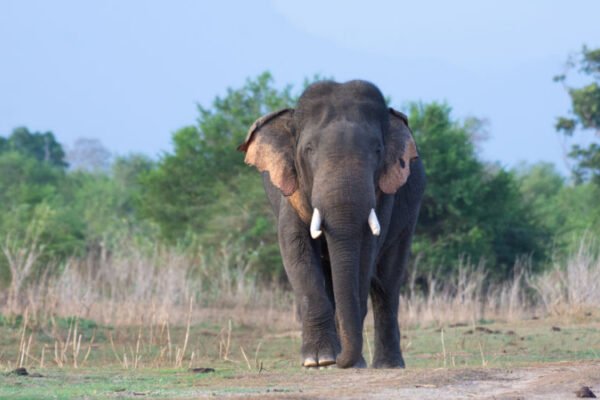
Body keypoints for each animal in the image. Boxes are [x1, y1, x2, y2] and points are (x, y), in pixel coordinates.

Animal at [237, 79, 424, 368]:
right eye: (309, 149)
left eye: (378, 150)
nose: (339, 360)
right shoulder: (290, 189)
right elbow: (296, 248)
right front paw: (318, 361)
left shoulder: (384, 194)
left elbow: (365, 253)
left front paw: (345, 362)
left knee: (387, 285)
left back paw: (387, 365)